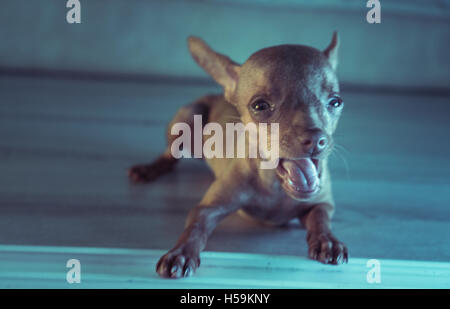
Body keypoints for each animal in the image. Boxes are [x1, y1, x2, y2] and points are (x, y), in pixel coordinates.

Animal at [128, 32, 350, 278]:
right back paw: (149, 169)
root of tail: (219, 94)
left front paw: (327, 240)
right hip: (186, 118)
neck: (274, 187)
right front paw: (181, 252)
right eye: (260, 106)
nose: (316, 139)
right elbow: (196, 227)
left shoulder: (322, 204)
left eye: (336, 101)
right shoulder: (208, 209)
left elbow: (321, 219)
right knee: (171, 156)